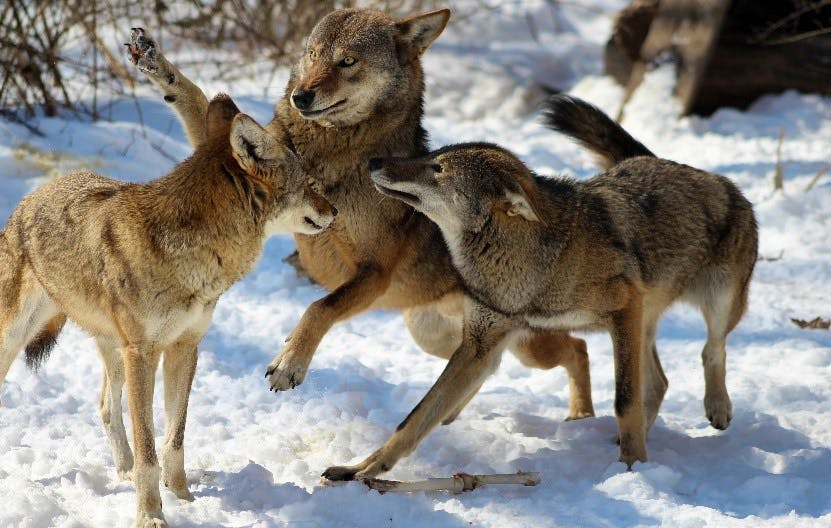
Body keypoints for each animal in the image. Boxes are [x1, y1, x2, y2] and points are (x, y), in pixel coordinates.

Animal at [0, 94, 335, 527]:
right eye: (309, 184)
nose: (336, 211)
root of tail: (33, 196)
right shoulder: (144, 354)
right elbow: (149, 451)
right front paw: (151, 515)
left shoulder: (184, 348)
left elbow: (174, 439)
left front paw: (184, 498)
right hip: (22, 341)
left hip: (115, 352)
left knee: (106, 407)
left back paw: (122, 471)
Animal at [126, 8, 594, 427]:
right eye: (313, 54)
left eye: (347, 62)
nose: (301, 96)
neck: (331, 152)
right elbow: (194, 99)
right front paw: (154, 60)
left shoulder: (374, 273)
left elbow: (319, 307)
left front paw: (289, 364)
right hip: (436, 336)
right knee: (489, 368)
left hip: (526, 346)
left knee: (578, 348)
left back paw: (582, 417)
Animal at [320, 95, 758, 480]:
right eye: (431, 155)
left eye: (438, 168)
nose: (375, 161)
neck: (534, 262)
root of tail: (705, 174)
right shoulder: (480, 345)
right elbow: (414, 418)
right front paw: (361, 469)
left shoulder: (622, 309)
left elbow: (624, 399)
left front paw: (632, 468)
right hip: (622, 328)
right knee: (661, 381)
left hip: (714, 303)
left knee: (711, 349)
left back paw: (715, 408)